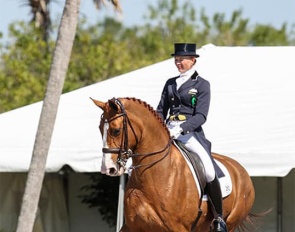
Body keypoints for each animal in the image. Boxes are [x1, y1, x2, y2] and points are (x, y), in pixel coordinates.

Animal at [91, 96, 258, 232]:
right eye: (99, 129)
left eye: (116, 130)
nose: (107, 168)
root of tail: (241, 169)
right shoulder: (132, 226)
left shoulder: (178, 228)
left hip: (230, 222)